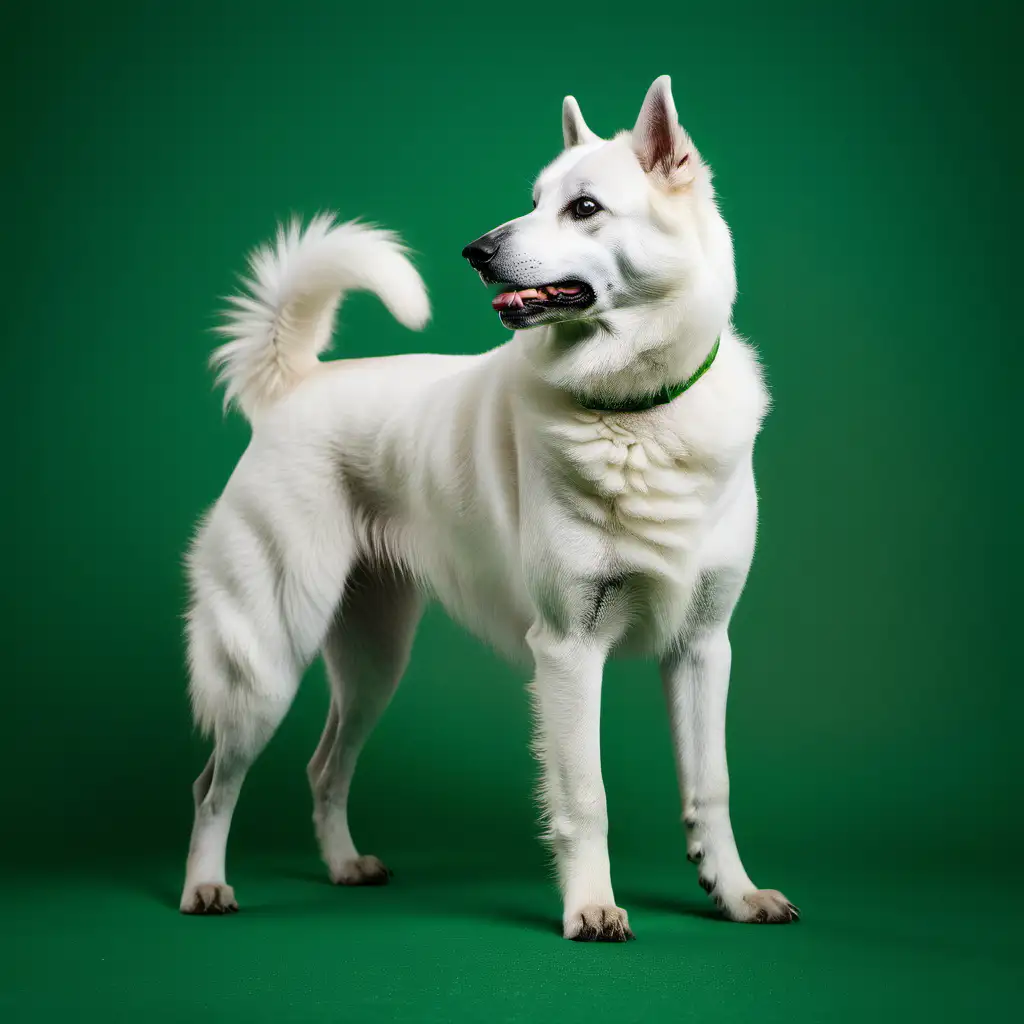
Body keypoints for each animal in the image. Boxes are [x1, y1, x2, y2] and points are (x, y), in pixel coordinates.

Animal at [180, 75, 794, 937]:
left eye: (583, 207)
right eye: (532, 200)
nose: (476, 251)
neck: (637, 412)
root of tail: (297, 384)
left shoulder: (704, 648)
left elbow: (712, 788)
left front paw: (735, 894)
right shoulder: (570, 650)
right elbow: (586, 796)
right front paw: (591, 908)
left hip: (373, 662)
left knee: (323, 766)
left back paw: (344, 866)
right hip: (266, 660)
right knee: (213, 784)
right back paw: (205, 886)